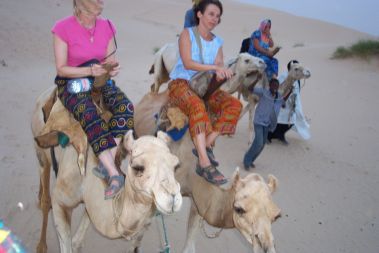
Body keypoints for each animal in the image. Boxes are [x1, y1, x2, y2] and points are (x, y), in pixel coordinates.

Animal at [30, 86, 183, 251]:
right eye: (138, 167)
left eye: (176, 166)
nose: (173, 196)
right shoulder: (60, 201)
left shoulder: (93, 205)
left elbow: (76, 241)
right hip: (41, 152)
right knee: (46, 195)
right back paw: (41, 244)